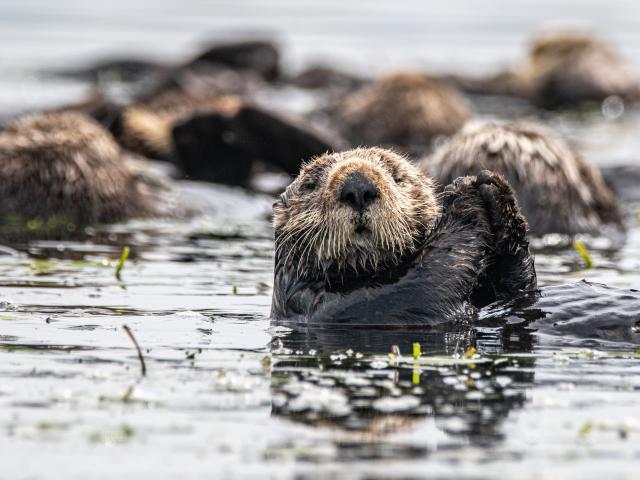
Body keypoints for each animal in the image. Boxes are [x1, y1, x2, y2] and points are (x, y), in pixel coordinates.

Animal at [270, 148, 536, 324]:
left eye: (397, 177)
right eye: (311, 185)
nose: (358, 186)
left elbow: (519, 291)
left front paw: (495, 190)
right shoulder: (343, 307)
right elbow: (424, 281)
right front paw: (462, 195)